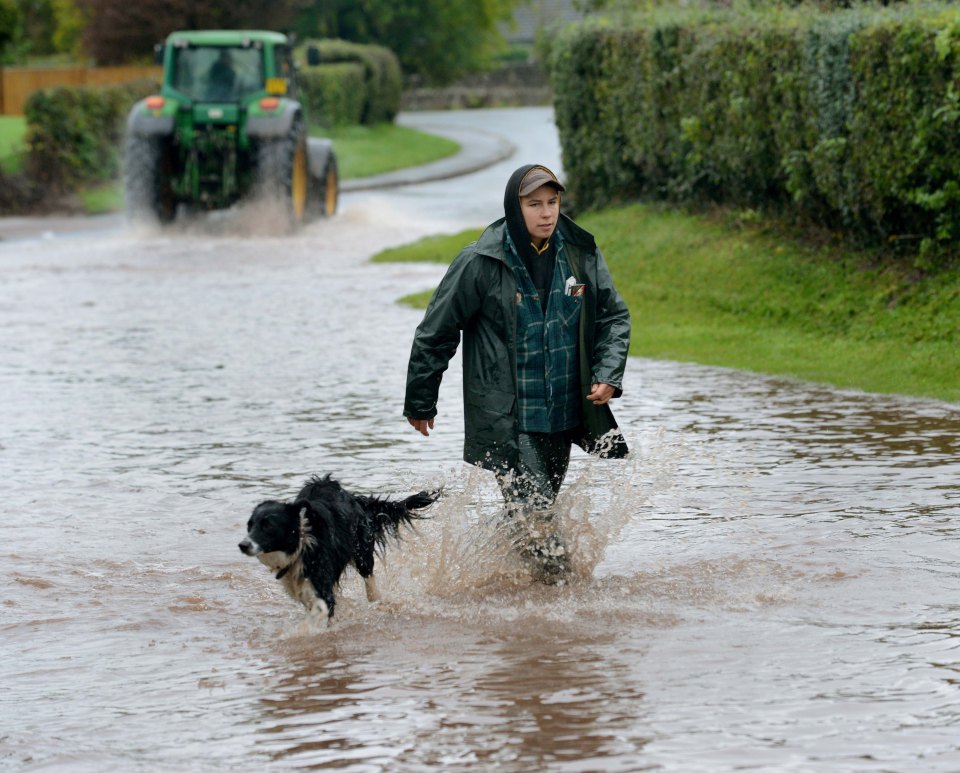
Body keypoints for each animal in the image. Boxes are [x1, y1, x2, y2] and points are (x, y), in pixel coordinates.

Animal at [240, 474, 438, 624]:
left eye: (268, 526)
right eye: (249, 525)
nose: (243, 545)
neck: (301, 543)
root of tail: (355, 498)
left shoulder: (322, 585)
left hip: (362, 553)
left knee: (369, 579)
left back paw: (377, 601)